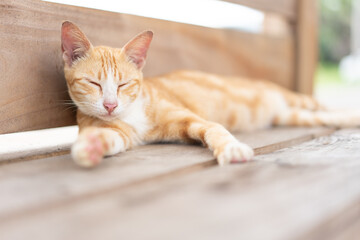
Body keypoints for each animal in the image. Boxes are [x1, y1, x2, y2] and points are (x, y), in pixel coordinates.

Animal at [61, 21, 358, 167]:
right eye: (93, 83)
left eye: (124, 84)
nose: (110, 105)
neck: (133, 111)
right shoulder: (123, 134)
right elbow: (111, 138)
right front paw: (92, 146)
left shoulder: (193, 119)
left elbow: (217, 130)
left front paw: (232, 149)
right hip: (291, 116)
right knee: (320, 116)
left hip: (297, 99)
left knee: (324, 107)